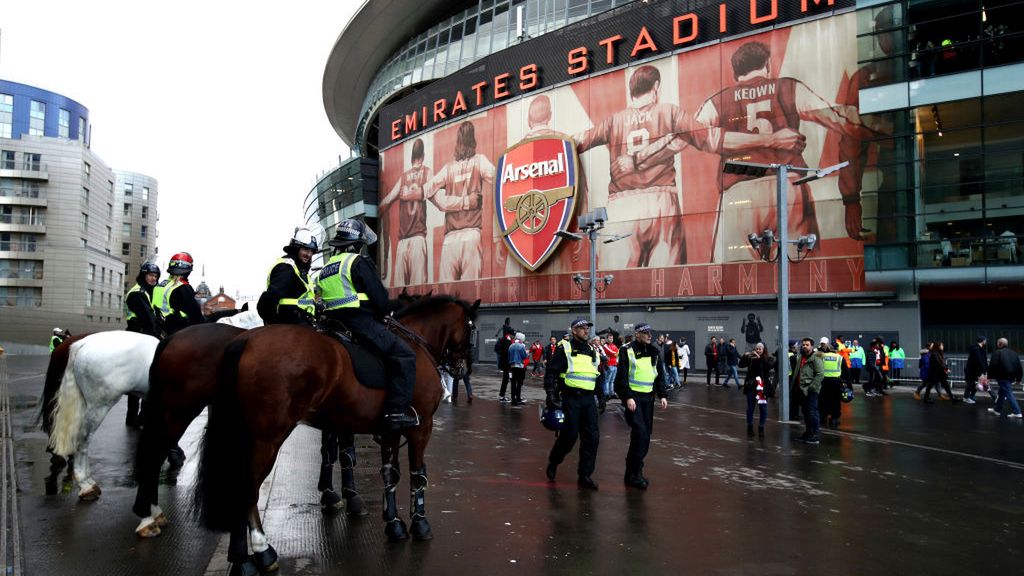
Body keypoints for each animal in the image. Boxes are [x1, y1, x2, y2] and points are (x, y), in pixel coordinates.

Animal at [193, 295, 477, 573]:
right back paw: (262, 551)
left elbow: (390, 475)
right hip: (267, 438)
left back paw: (241, 557)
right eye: (471, 329)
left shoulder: (390, 430)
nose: (462, 370)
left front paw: (394, 524)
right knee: (246, 489)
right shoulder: (421, 427)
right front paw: (420, 525)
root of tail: (246, 340)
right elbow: (417, 476)